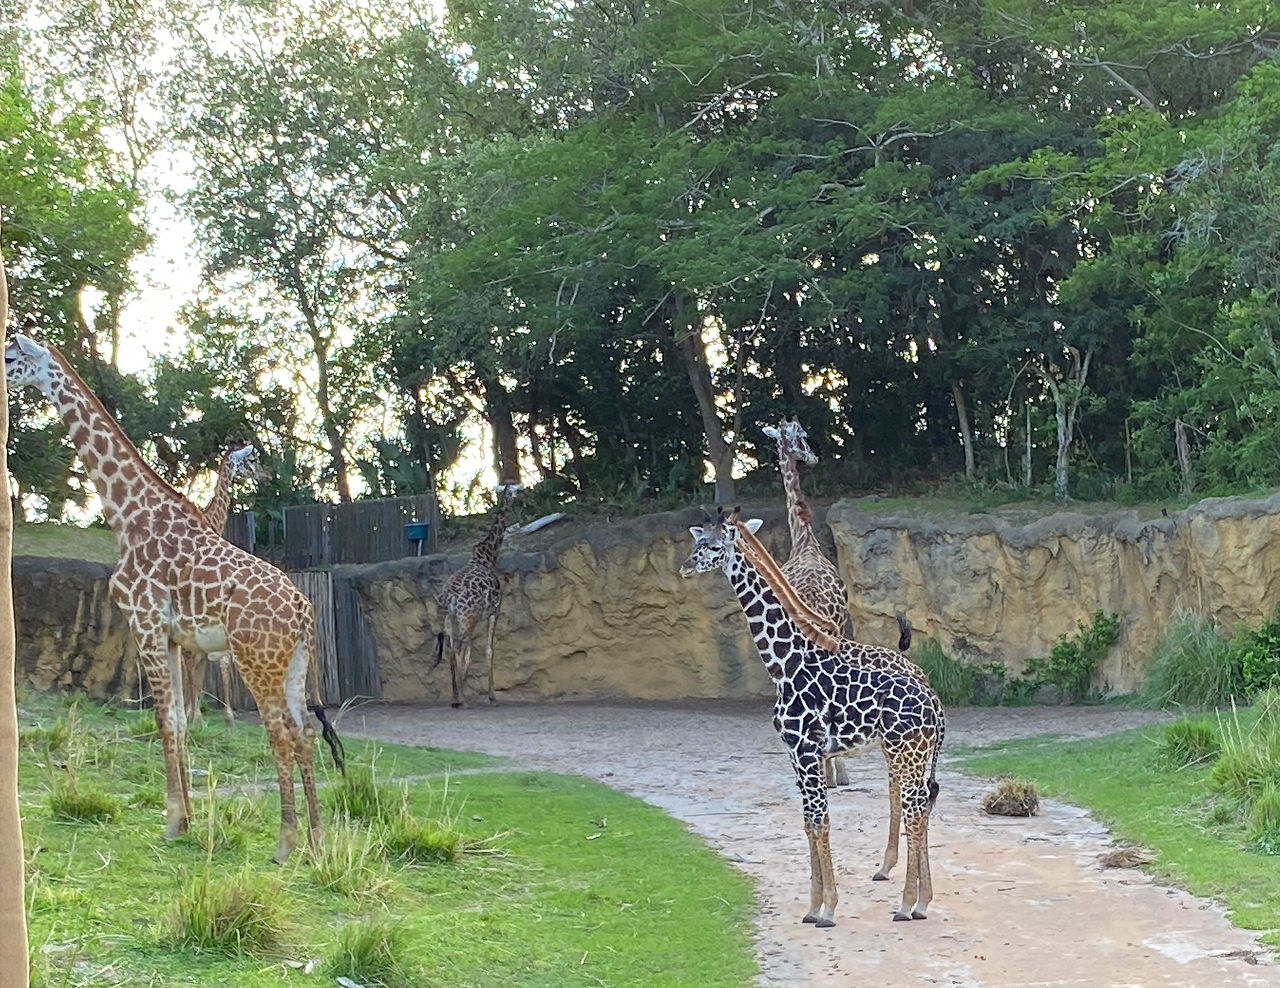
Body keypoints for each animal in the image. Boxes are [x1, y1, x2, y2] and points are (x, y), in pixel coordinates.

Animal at [435, 483, 520, 708]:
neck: (488, 557)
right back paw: (462, 700)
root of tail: (450, 598)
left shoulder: (475, 618)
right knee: (457, 648)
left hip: (449, 619)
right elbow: (489, 651)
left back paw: (456, 696)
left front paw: (463, 687)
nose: (520, 496)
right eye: (515, 490)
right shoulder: (494, 612)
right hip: (466, 619)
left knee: (451, 649)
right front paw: (491, 696)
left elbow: (470, 654)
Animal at [681, 507, 944, 926]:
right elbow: (808, 821)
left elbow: (820, 820)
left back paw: (908, 904)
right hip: (910, 754)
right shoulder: (798, 754)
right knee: (918, 805)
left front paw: (829, 910)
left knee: (913, 807)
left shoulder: (805, 751)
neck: (784, 664)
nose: (686, 566)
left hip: (906, 752)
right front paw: (812, 907)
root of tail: (933, 701)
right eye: (697, 541)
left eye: (715, 546)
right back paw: (918, 900)